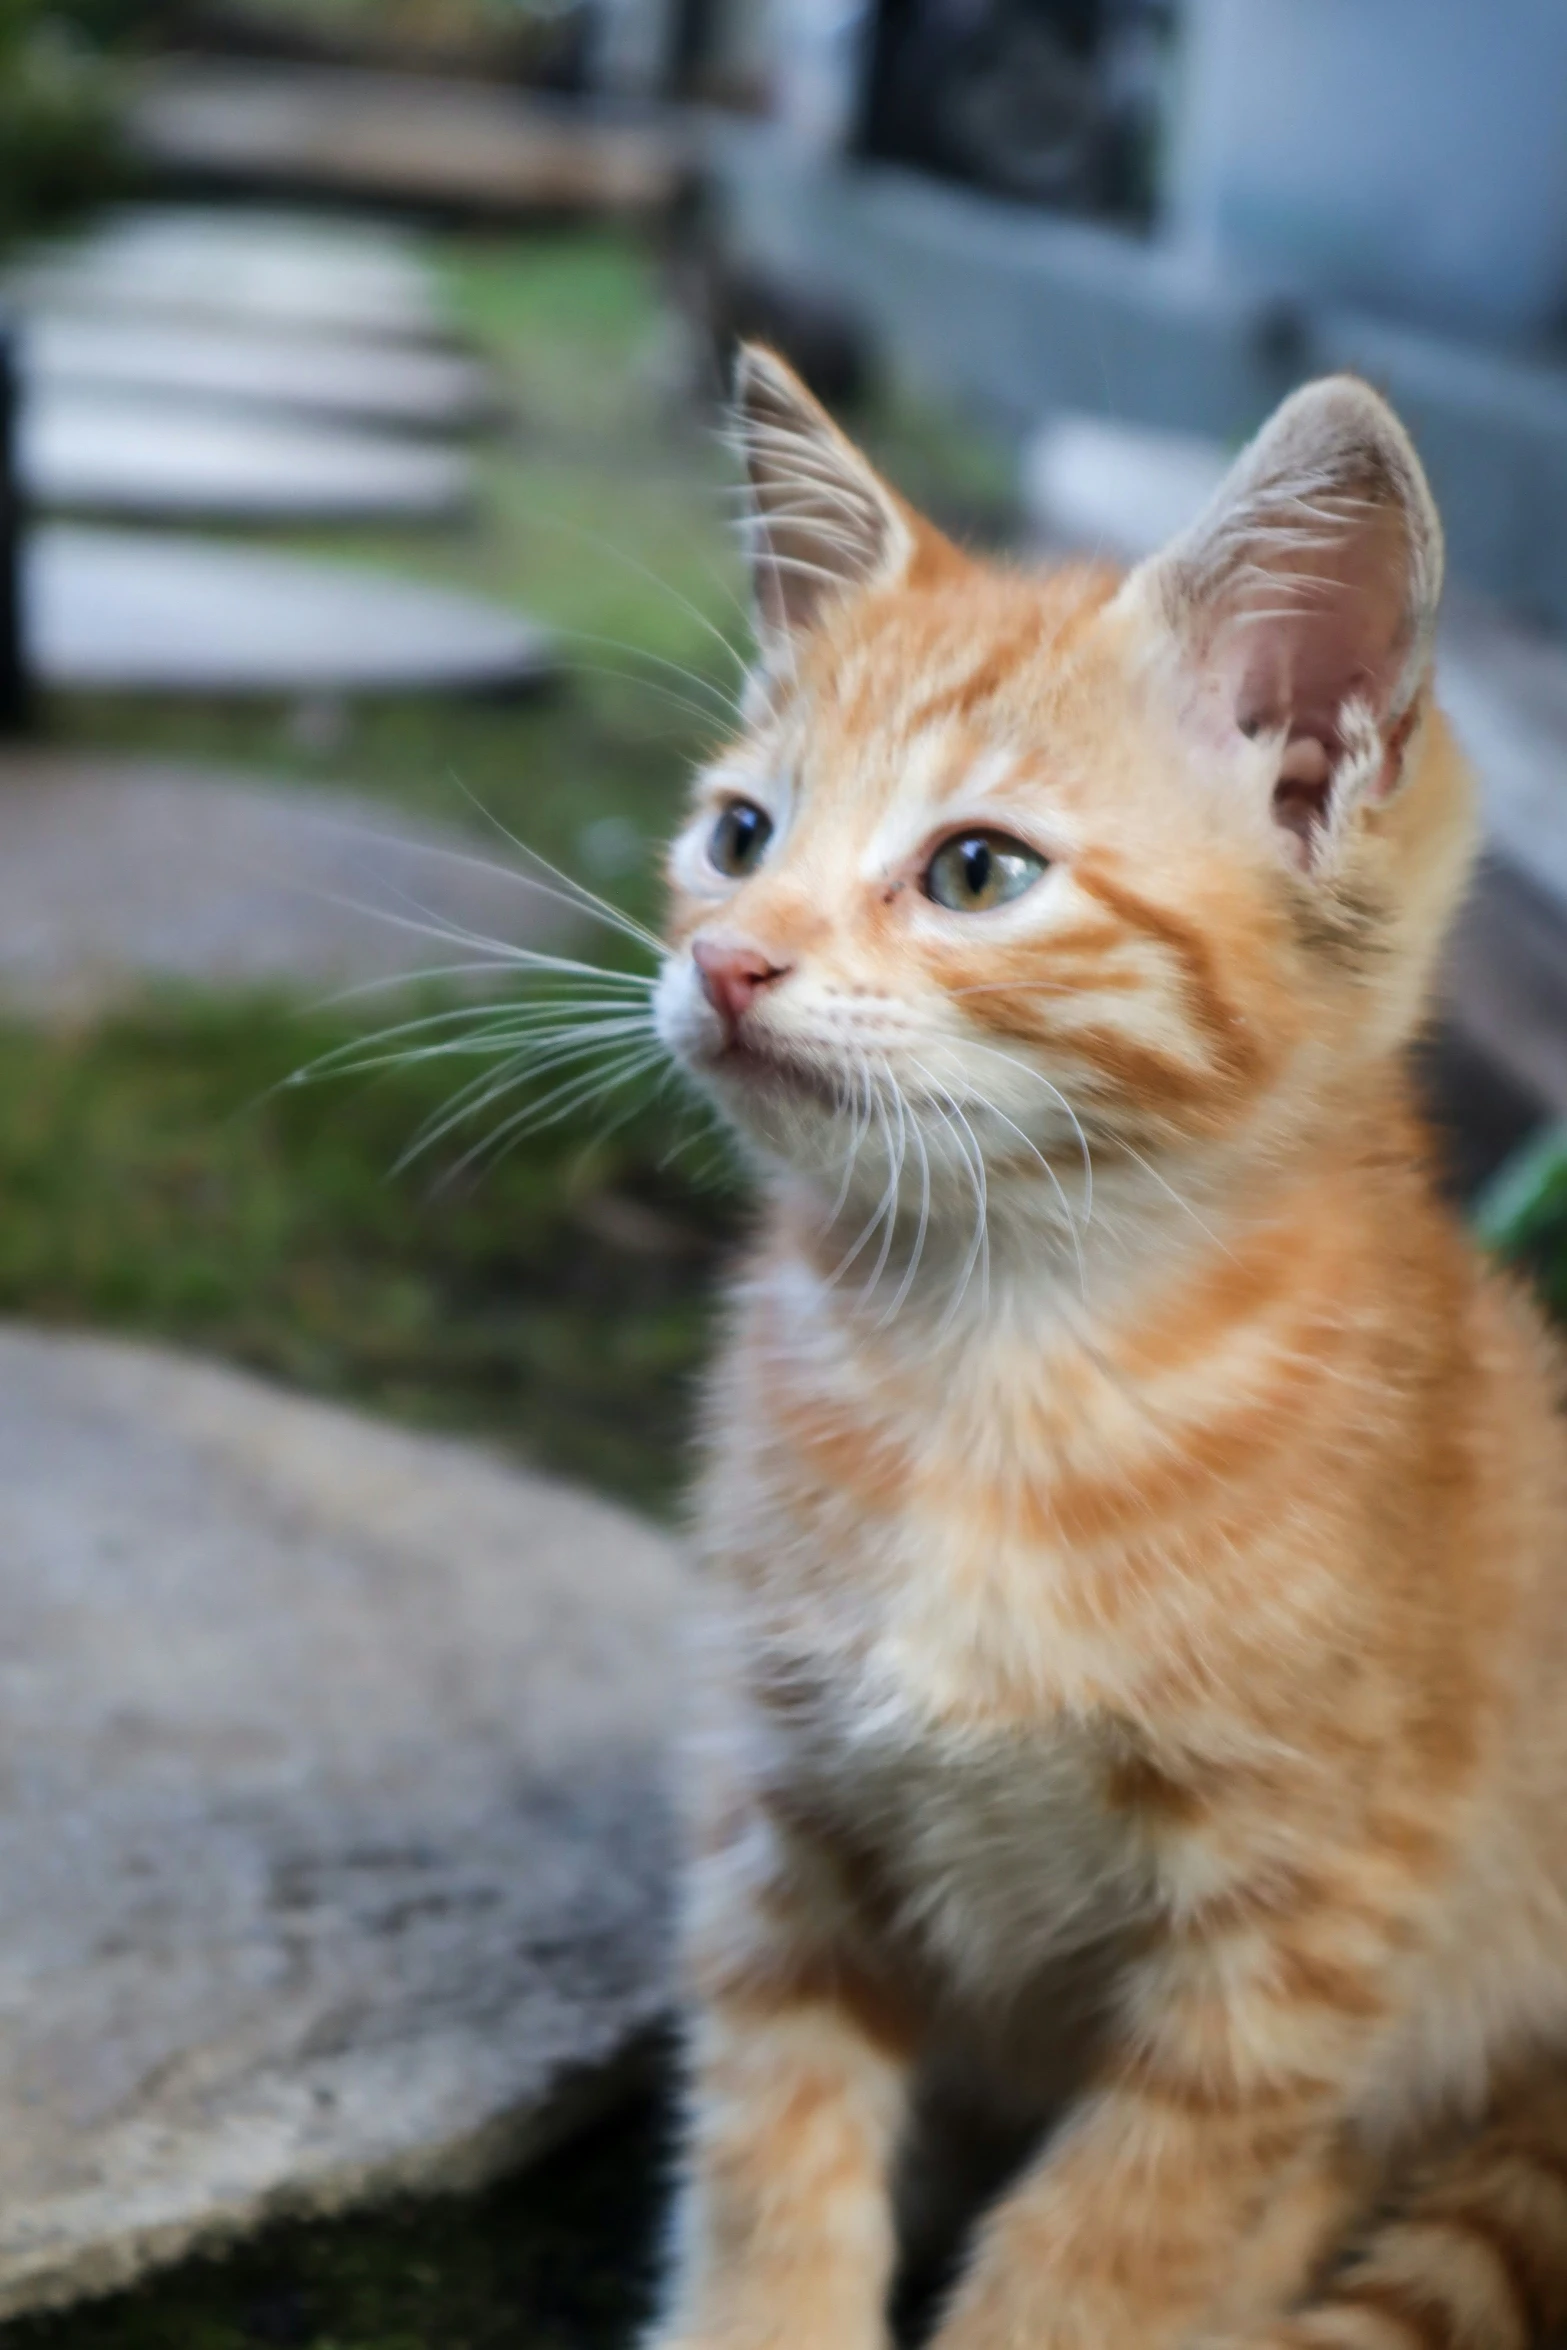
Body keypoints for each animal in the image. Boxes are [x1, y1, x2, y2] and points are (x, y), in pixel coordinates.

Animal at [643, 347, 1567, 2350]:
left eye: (976, 871)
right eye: (738, 836)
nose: (728, 960)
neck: (995, 1359)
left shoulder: (1307, 1929)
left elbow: (1112, 2245)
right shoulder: (781, 1818)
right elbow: (771, 2145)